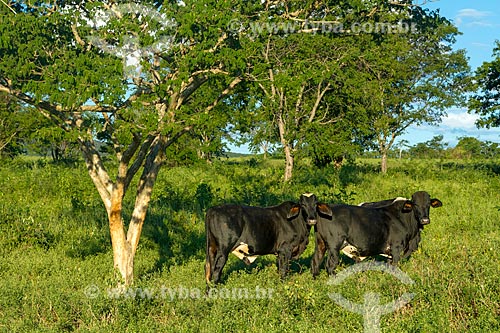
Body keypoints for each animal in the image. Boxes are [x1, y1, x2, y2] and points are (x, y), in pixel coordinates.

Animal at [310, 191, 444, 276]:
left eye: (428, 204)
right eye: (415, 204)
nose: (425, 220)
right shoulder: (396, 247)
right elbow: (395, 266)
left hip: (320, 243)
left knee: (315, 261)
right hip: (334, 246)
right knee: (330, 265)